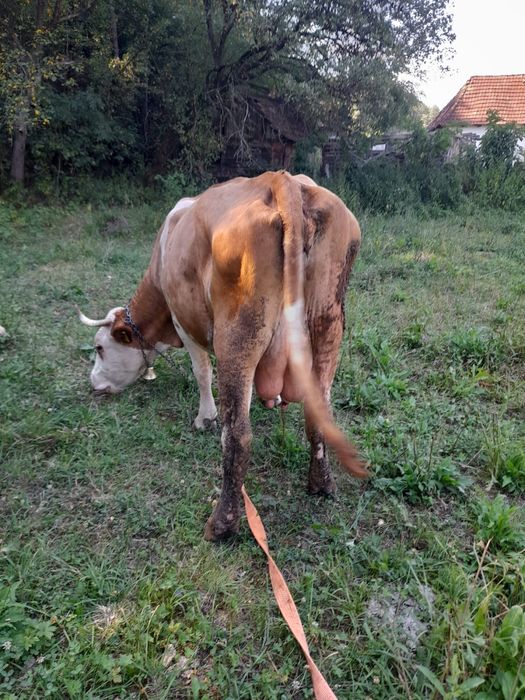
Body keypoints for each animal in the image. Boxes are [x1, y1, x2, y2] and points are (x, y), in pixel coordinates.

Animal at [78, 171, 367, 540]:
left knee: (238, 435)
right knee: (317, 414)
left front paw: (206, 418)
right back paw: (321, 484)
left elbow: (202, 372)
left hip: (237, 334)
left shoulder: (183, 320)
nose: (94, 383)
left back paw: (221, 524)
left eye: (100, 347)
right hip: (328, 324)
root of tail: (280, 180)